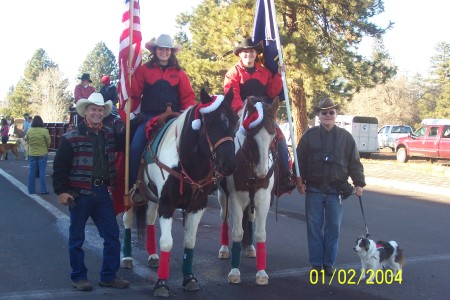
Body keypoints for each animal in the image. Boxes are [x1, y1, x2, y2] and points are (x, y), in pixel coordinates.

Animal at [123, 89, 237, 298]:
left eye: (234, 121)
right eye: (209, 124)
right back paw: (126, 258)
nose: (229, 164)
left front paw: (189, 278)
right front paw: (161, 283)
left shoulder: (197, 206)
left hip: (153, 198)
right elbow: (167, 242)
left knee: (149, 219)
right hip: (129, 192)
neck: (185, 160)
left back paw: (152, 255)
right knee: (127, 221)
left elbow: (189, 241)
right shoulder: (167, 204)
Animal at [217, 96, 278, 286]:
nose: (262, 172)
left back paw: (251, 248)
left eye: (273, 134)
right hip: (223, 197)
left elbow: (260, 234)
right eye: (252, 135)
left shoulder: (264, 200)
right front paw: (234, 271)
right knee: (224, 218)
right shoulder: (236, 199)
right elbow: (237, 233)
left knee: (250, 219)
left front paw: (261, 273)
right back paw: (224, 249)